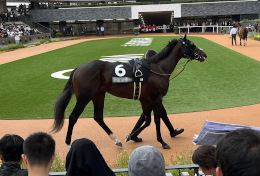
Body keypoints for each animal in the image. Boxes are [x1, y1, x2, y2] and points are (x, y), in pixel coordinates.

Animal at [52, 33, 207, 149]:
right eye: (192, 44)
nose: (204, 54)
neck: (158, 68)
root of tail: (78, 68)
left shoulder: (146, 99)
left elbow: (147, 119)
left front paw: (131, 135)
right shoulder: (156, 98)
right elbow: (155, 119)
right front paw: (162, 142)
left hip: (98, 95)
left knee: (98, 117)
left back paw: (116, 139)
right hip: (84, 97)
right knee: (73, 117)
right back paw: (68, 143)